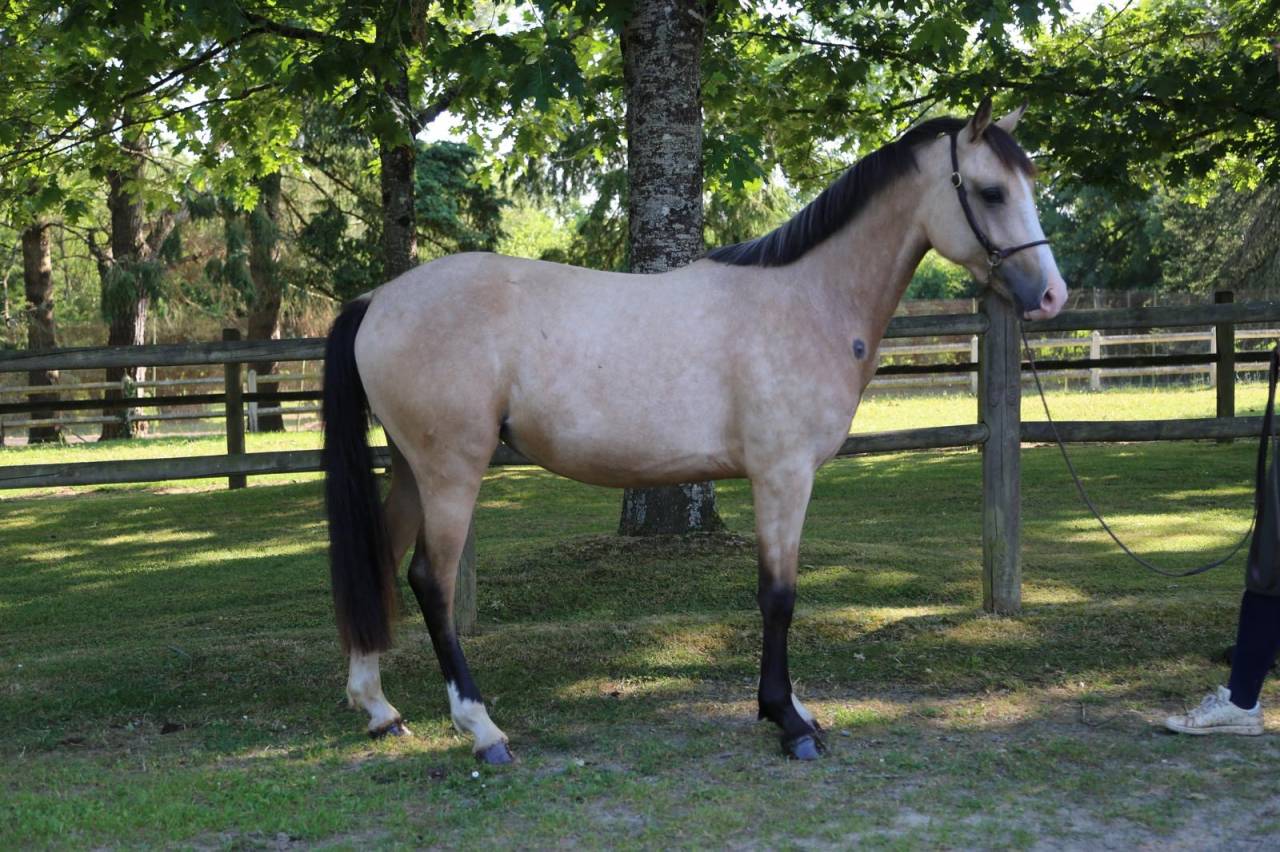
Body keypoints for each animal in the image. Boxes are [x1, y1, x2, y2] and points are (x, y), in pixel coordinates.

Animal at [322, 98, 1067, 763]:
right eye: (992, 191)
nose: (1052, 296)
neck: (806, 300)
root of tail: (378, 300)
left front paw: (795, 712)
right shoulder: (782, 477)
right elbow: (778, 597)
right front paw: (787, 721)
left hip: (411, 468)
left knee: (383, 559)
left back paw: (379, 710)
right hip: (450, 471)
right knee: (431, 581)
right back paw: (481, 729)